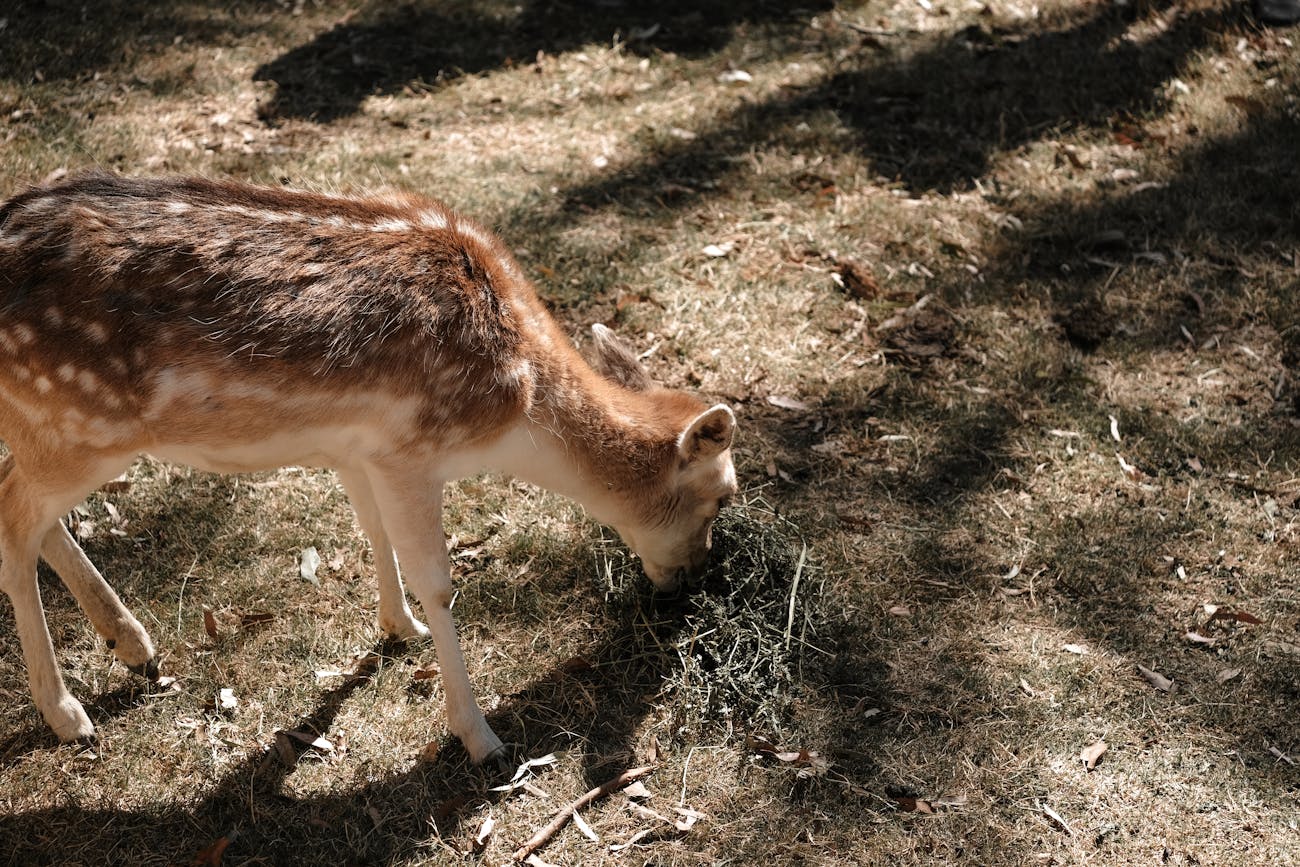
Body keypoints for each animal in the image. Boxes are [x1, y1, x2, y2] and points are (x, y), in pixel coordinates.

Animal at [0, 171, 738, 764]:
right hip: (80, 425)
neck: (517, 407)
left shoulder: (359, 449)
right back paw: (68, 715)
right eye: (725, 495)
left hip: (44, 426)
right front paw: (480, 737)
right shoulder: (411, 449)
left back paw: (132, 643)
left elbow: (372, 530)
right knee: (14, 520)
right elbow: (439, 582)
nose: (699, 575)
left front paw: (397, 626)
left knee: (35, 515)